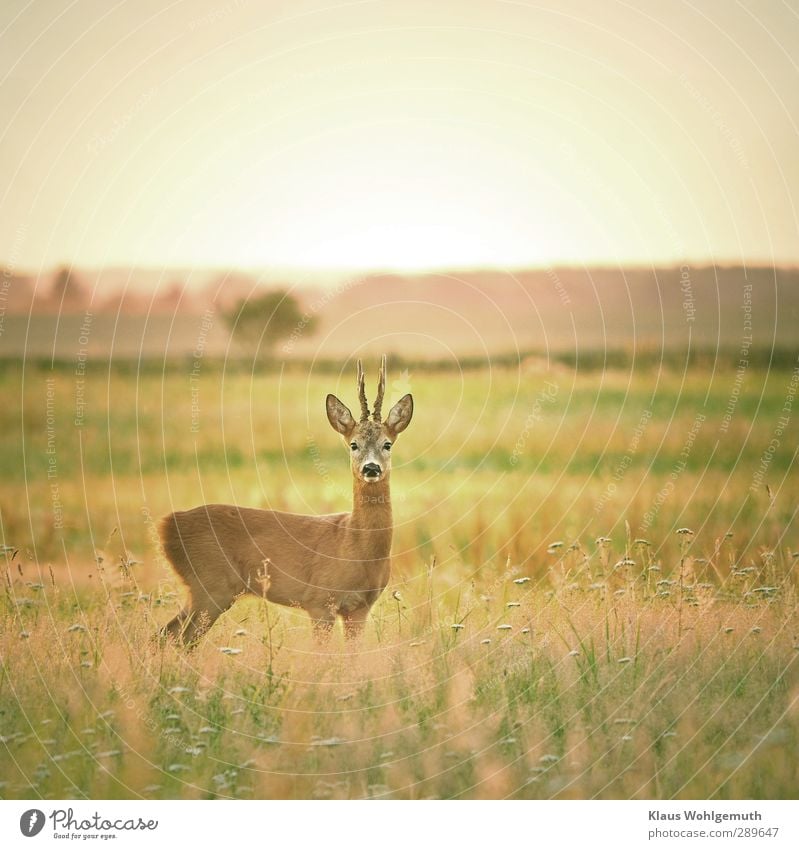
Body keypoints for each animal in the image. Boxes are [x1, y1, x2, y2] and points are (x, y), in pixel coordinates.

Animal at [159, 356, 416, 644]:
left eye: (387, 444)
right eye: (354, 444)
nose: (371, 468)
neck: (356, 545)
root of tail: (165, 525)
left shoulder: (360, 608)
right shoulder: (318, 600)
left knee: (167, 634)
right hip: (209, 586)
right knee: (176, 636)